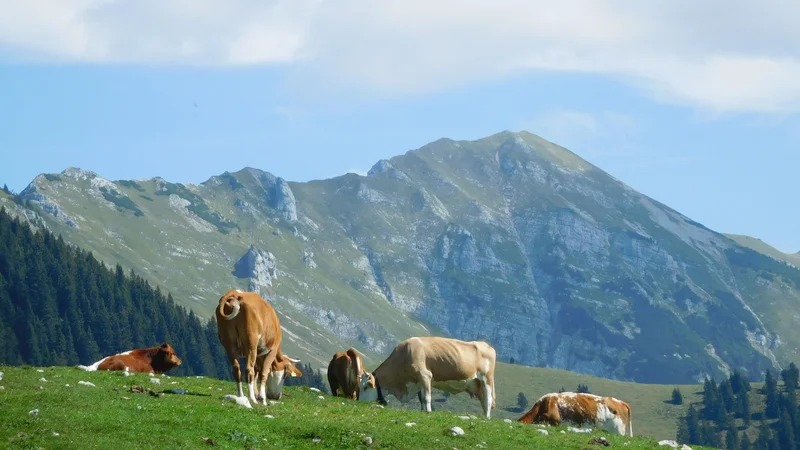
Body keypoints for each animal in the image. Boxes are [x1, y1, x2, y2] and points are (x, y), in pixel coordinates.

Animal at [360, 334, 494, 418]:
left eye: (365, 387)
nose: (358, 403)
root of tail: (486, 345)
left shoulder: (425, 376)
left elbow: (426, 398)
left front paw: (428, 412)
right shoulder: (418, 381)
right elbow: (421, 399)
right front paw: (422, 411)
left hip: (487, 379)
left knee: (488, 399)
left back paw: (487, 418)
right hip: (477, 384)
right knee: (483, 400)